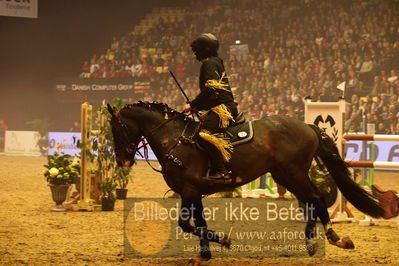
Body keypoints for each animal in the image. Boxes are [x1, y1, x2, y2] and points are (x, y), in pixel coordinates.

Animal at [108, 101, 386, 262]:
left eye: (118, 127)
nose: (122, 160)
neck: (175, 139)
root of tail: (308, 126)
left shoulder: (189, 189)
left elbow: (185, 224)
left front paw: (223, 241)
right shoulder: (195, 191)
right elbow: (199, 223)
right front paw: (204, 255)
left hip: (293, 172)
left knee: (316, 198)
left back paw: (331, 238)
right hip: (285, 175)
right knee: (311, 199)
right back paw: (317, 241)